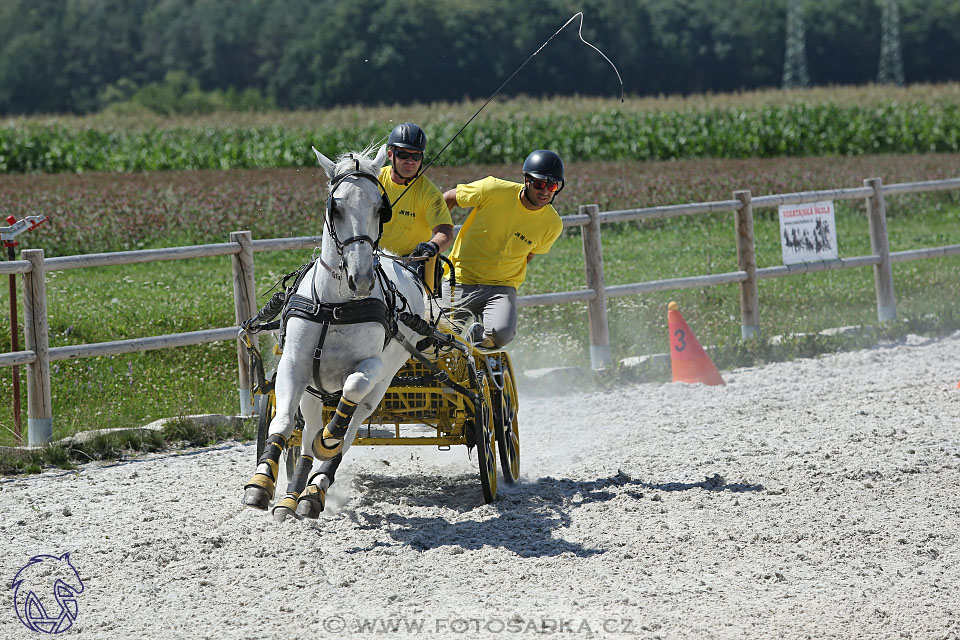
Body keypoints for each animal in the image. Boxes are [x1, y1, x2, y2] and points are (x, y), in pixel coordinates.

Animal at [244, 144, 428, 520]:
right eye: (336, 207)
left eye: (380, 209)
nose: (362, 279)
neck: (336, 305)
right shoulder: (294, 366)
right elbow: (282, 423)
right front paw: (261, 484)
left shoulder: (370, 368)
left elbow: (349, 398)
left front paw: (328, 442)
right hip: (313, 389)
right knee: (307, 431)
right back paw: (292, 497)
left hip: (382, 384)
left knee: (351, 426)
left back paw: (315, 492)